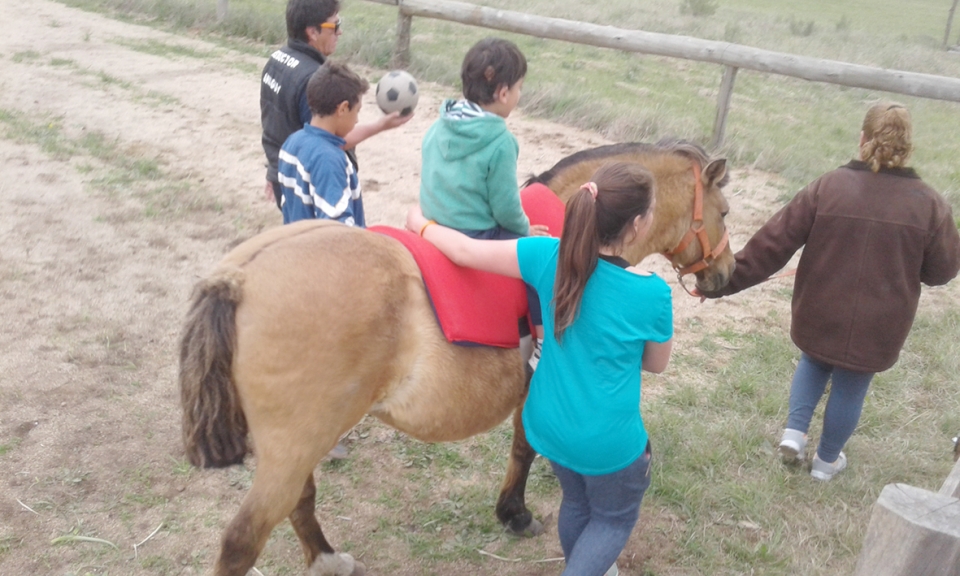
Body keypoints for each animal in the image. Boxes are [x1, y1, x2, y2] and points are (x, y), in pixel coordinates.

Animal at [179, 139, 735, 576]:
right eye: (726, 212)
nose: (725, 273)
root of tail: (240, 277)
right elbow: (524, 448)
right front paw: (514, 513)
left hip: (295, 447)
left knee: (300, 502)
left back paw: (327, 559)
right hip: (294, 447)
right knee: (243, 539)